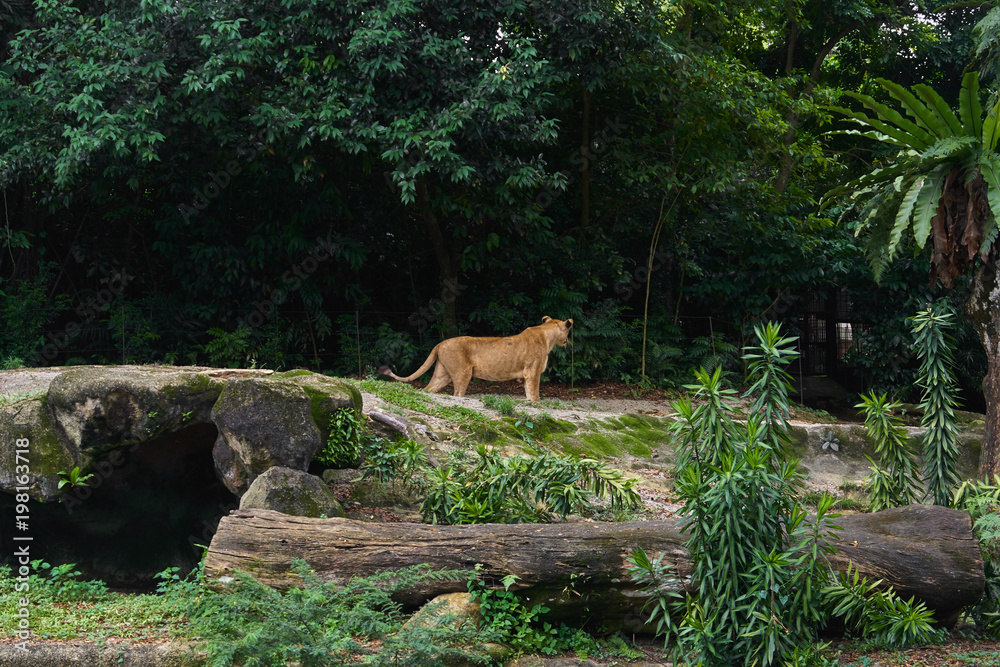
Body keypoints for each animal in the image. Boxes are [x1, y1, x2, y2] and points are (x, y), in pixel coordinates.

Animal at [378, 316, 573, 401]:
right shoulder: (532, 372)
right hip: (463, 372)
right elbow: (535, 394)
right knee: (457, 394)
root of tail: (439, 344)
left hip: (442, 374)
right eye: (568, 332)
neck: (547, 335)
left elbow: (528, 393)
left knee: (429, 389)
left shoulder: (527, 374)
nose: (567, 341)